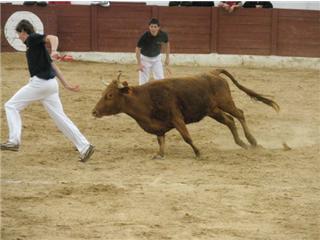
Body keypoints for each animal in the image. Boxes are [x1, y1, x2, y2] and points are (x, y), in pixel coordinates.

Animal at [91, 70, 278, 158]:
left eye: (109, 95)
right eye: (104, 93)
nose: (94, 111)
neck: (145, 98)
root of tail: (213, 72)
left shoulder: (176, 118)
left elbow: (186, 137)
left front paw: (198, 152)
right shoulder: (159, 127)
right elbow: (161, 141)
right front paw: (160, 155)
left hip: (225, 102)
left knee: (240, 114)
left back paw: (252, 141)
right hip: (213, 110)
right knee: (230, 121)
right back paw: (242, 144)